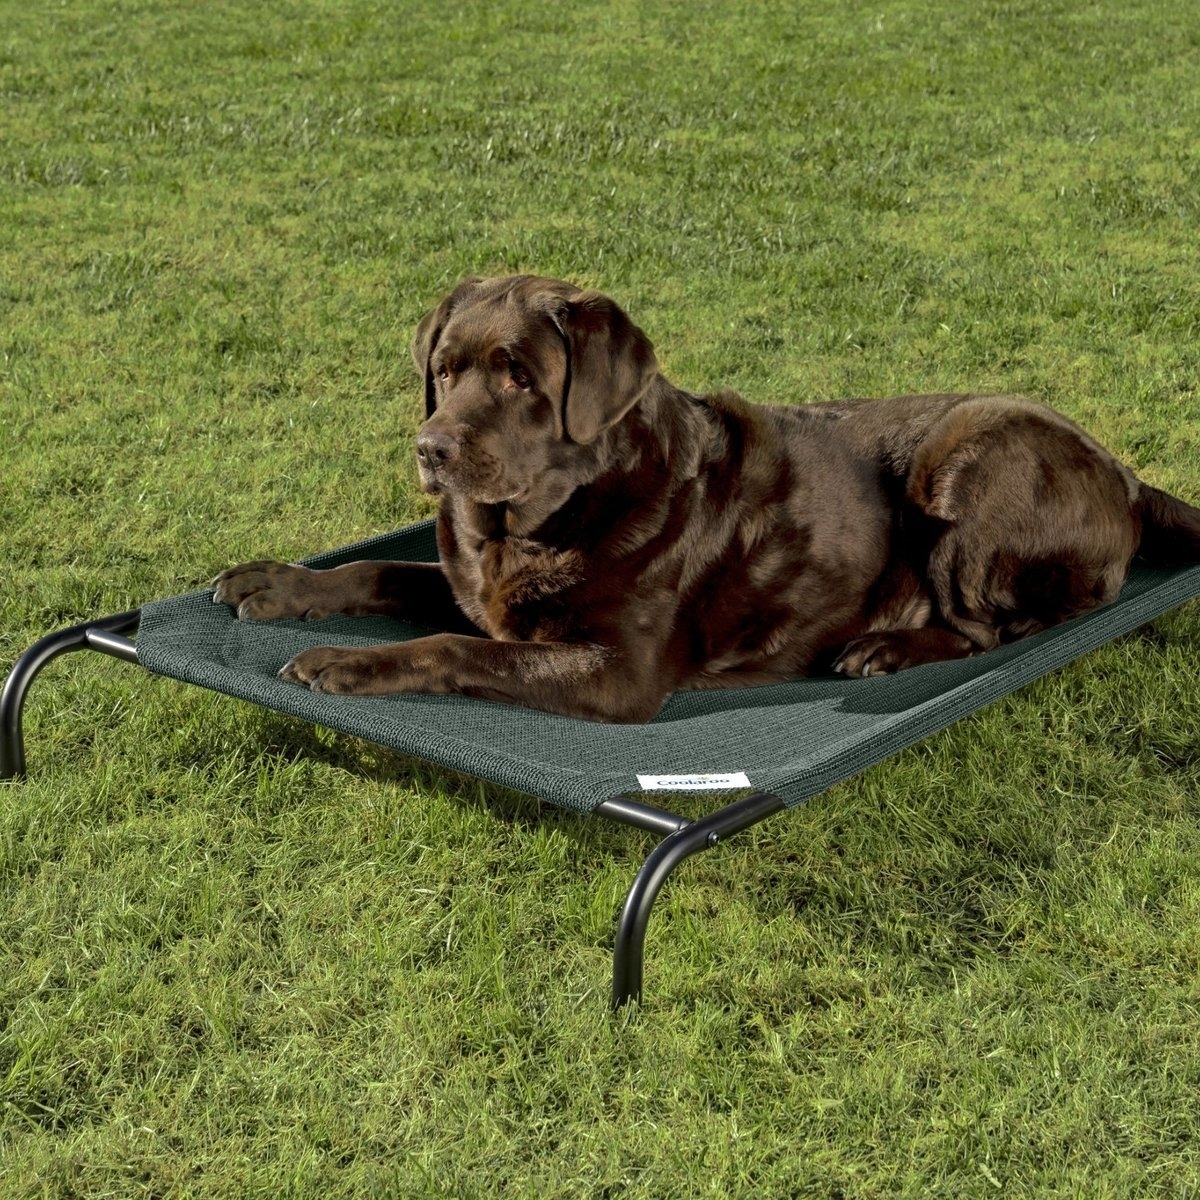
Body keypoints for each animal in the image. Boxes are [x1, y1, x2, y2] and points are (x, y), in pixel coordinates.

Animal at [213, 274, 1200, 720]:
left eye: (520, 376)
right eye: (445, 371)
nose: (431, 450)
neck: (550, 521)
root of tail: (1123, 469)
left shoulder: (617, 673)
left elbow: (455, 644)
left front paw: (347, 664)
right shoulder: (473, 582)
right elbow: (385, 571)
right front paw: (279, 583)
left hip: (966, 457)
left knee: (996, 629)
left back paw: (883, 649)